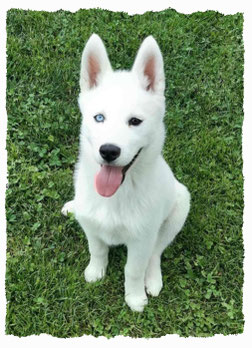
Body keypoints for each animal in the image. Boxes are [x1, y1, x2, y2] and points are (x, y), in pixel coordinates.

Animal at [62, 34, 190, 312]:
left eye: (135, 122)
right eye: (99, 117)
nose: (108, 151)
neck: (117, 195)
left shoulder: (142, 239)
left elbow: (134, 269)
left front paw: (134, 297)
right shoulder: (92, 228)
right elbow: (97, 250)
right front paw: (95, 272)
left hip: (178, 211)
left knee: (156, 252)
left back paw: (152, 280)